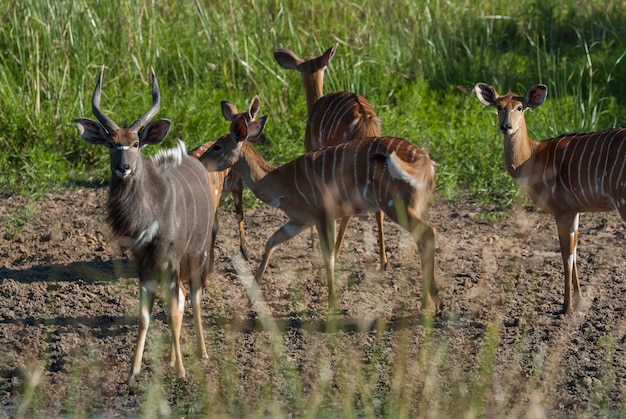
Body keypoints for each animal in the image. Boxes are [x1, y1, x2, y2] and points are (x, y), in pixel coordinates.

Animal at [73, 68, 212, 384]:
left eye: (136, 143)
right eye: (111, 143)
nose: (123, 167)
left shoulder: (170, 263)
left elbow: (172, 314)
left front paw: (182, 372)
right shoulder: (144, 267)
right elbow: (145, 317)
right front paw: (133, 372)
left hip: (198, 256)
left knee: (194, 298)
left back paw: (202, 353)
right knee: (182, 299)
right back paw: (172, 359)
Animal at [200, 112, 438, 312]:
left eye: (217, 146)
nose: (199, 160)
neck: (280, 181)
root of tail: (425, 160)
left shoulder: (323, 215)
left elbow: (328, 256)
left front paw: (332, 303)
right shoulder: (300, 220)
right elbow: (271, 242)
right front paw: (249, 300)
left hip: (395, 205)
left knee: (428, 232)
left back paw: (429, 301)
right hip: (412, 206)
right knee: (424, 237)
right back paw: (431, 299)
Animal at [472, 83, 624, 316]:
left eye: (520, 107)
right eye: (498, 106)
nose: (506, 127)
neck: (532, 157)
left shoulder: (561, 210)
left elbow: (566, 255)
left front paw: (566, 307)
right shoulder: (574, 210)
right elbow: (575, 252)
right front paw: (580, 301)